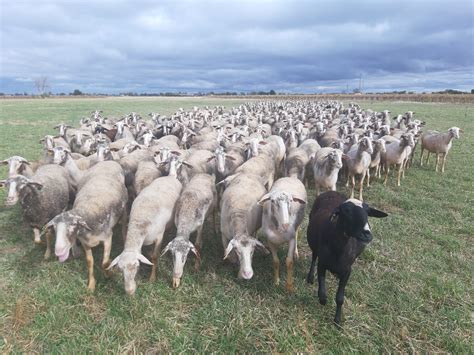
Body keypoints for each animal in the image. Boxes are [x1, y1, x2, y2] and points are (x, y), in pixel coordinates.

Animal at [44, 163, 128, 294]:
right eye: (56, 229)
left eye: (73, 226)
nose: (58, 251)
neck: (87, 211)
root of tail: (109, 162)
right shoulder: (85, 243)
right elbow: (89, 262)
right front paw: (91, 284)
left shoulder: (108, 237)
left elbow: (104, 263)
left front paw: (108, 273)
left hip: (124, 212)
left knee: (124, 228)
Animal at [306, 192, 386, 326]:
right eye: (347, 211)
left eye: (368, 212)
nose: (367, 234)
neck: (338, 248)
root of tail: (332, 192)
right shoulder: (322, 264)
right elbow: (322, 289)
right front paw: (323, 300)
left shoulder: (347, 271)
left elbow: (340, 298)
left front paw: (338, 320)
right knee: (313, 257)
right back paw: (310, 277)